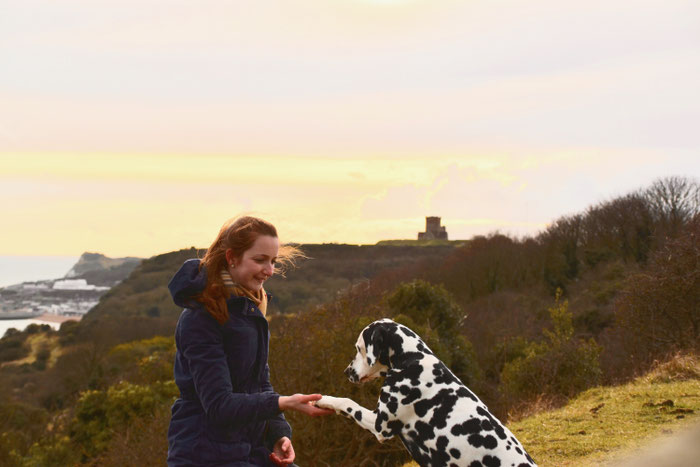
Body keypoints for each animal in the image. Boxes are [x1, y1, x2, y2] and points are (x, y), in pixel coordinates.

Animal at [314, 320, 540, 467]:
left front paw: (324, 400)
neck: (412, 359)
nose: (347, 372)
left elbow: (347, 403)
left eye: (358, 348)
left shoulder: (381, 426)